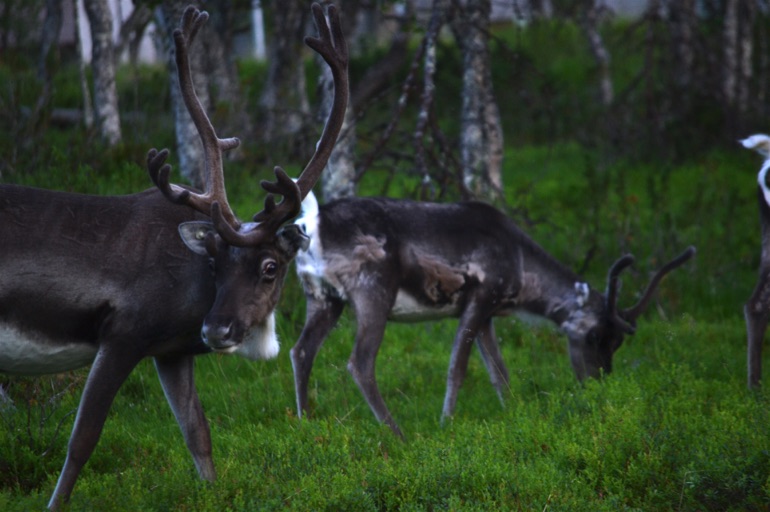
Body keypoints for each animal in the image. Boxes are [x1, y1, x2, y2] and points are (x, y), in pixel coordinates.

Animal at [0, 4, 347, 510]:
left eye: (270, 267)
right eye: (215, 264)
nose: (216, 329)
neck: (189, 297)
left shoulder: (171, 351)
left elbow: (198, 435)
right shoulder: (123, 335)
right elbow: (82, 440)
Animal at [290, 191, 695, 438]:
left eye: (618, 343)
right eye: (594, 335)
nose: (598, 383)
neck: (522, 268)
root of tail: (314, 226)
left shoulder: (487, 316)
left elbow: (500, 373)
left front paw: (513, 415)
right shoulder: (480, 299)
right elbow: (458, 367)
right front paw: (446, 424)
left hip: (323, 297)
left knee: (301, 351)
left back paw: (305, 424)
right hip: (373, 293)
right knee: (360, 363)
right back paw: (398, 434)